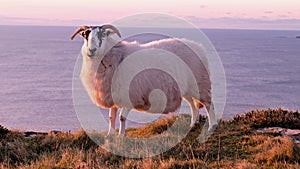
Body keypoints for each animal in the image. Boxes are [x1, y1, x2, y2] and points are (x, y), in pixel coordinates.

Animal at [72, 24, 219, 136]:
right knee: (194, 106)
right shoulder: (112, 95)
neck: (115, 56)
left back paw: (212, 127)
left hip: (200, 84)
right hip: (187, 89)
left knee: (209, 104)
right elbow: (111, 117)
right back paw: (192, 125)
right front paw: (110, 135)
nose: (92, 50)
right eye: (86, 35)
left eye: (102, 36)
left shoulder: (129, 95)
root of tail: (199, 48)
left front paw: (121, 136)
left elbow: (121, 117)